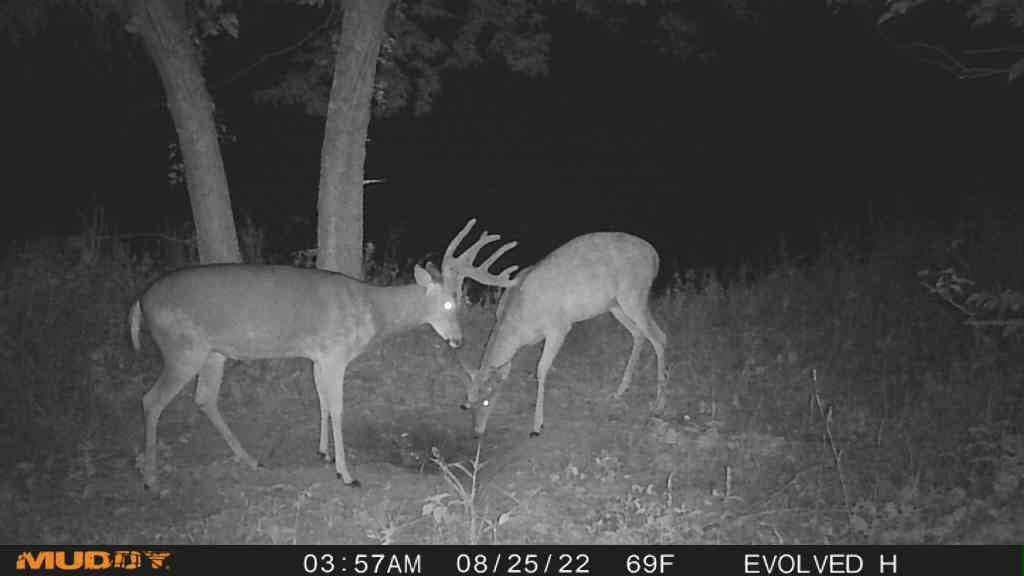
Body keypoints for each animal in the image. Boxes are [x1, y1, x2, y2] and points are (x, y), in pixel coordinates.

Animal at [129, 218, 518, 490]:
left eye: (462, 300)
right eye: (451, 303)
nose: (458, 340)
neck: (371, 310)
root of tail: (140, 302)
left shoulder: (318, 355)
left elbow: (321, 400)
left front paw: (324, 453)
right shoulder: (335, 352)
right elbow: (338, 406)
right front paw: (347, 473)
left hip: (213, 353)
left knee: (204, 398)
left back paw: (249, 459)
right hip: (183, 348)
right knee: (151, 400)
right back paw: (150, 478)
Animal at [461, 232, 668, 437]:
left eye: (486, 400)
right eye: (467, 402)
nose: (477, 432)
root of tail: (654, 256)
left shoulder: (558, 327)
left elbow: (541, 369)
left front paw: (537, 426)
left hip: (634, 295)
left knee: (660, 337)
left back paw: (658, 406)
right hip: (614, 305)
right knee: (639, 334)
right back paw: (620, 391)